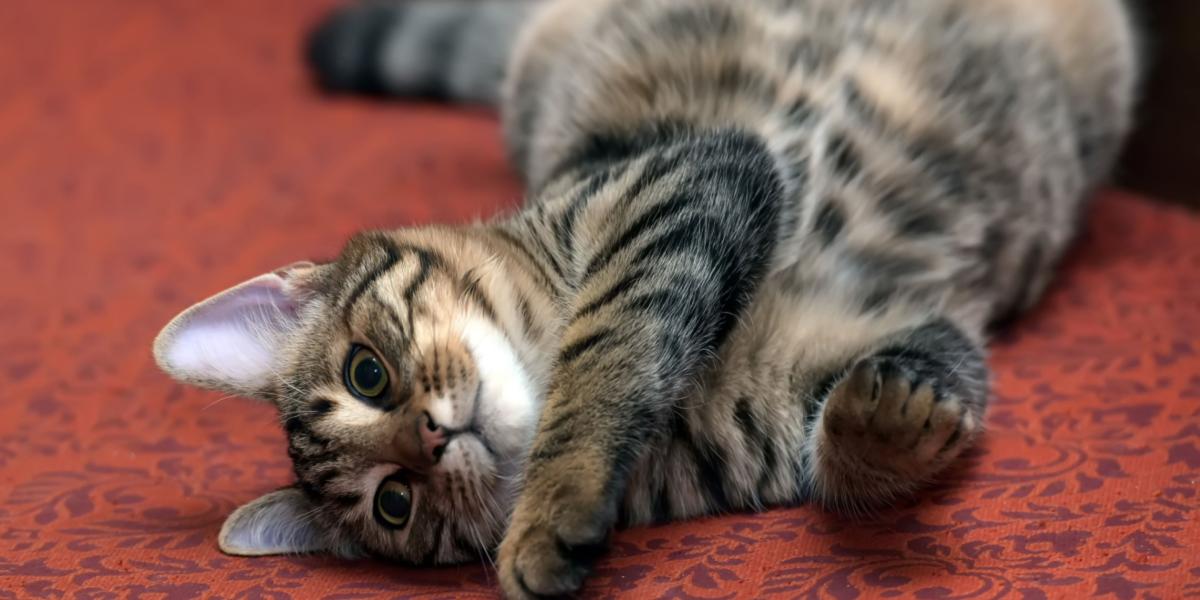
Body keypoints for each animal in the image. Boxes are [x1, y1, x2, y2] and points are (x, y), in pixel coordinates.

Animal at [154, 1, 1137, 595]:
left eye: (367, 373)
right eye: (393, 504)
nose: (431, 439)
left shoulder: (682, 181)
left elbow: (605, 353)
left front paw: (550, 502)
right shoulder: (868, 344)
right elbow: (861, 433)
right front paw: (888, 419)